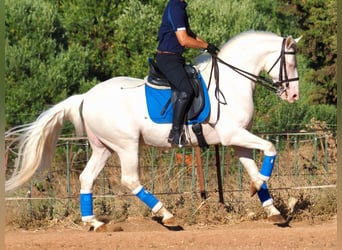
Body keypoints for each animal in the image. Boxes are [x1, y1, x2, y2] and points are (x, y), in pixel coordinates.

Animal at [5, 30, 300, 231]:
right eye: (291, 63)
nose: (294, 96)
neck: (231, 81)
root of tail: (86, 96)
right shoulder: (233, 135)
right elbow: (271, 148)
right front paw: (262, 191)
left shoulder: (238, 140)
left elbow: (255, 168)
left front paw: (269, 205)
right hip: (126, 145)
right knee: (130, 180)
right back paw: (166, 215)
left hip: (104, 148)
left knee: (86, 178)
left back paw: (94, 222)